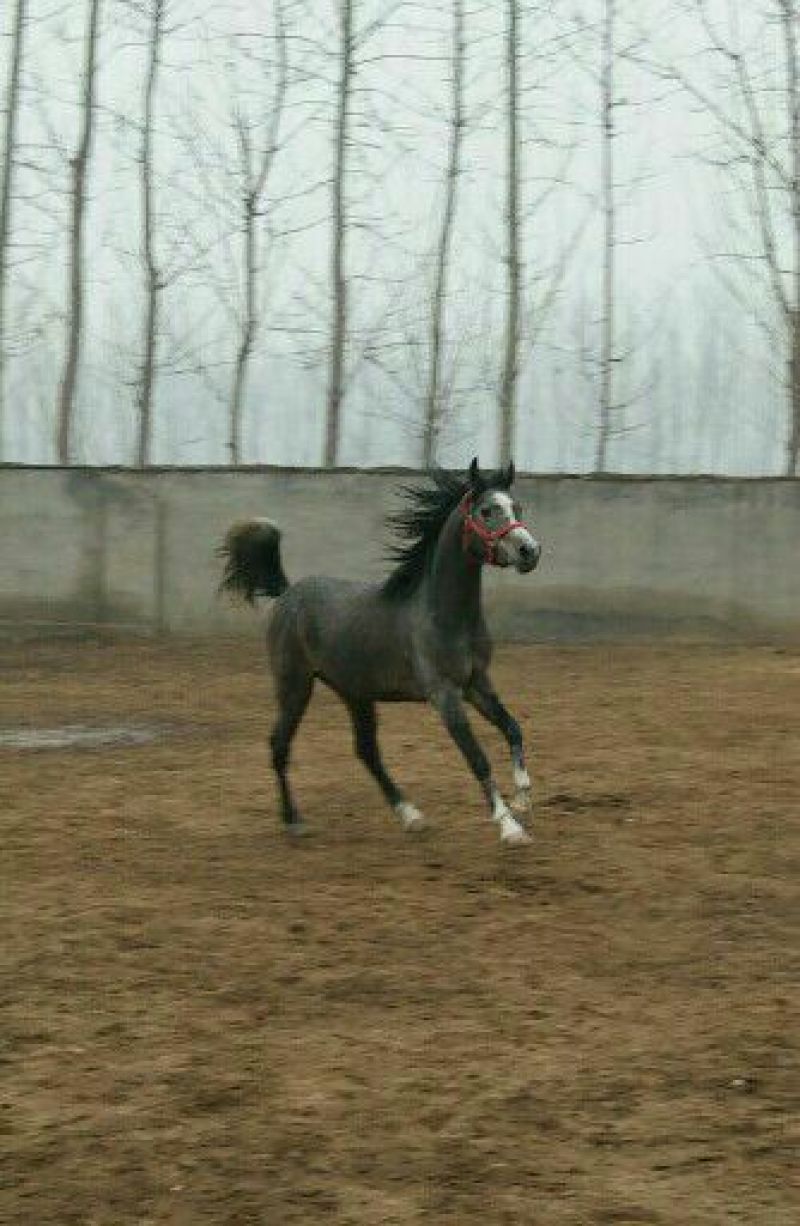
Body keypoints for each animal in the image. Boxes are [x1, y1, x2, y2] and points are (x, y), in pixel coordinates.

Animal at [219, 458, 542, 846]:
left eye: (517, 507)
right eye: (487, 511)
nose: (530, 552)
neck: (442, 614)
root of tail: (287, 593)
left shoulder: (477, 683)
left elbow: (513, 728)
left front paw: (523, 797)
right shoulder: (444, 694)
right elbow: (477, 758)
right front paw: (510, 827)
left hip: (354, 692)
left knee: (366, 751)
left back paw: (410, 815)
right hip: (294, 686)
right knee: (279, 744)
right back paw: (294, 820)